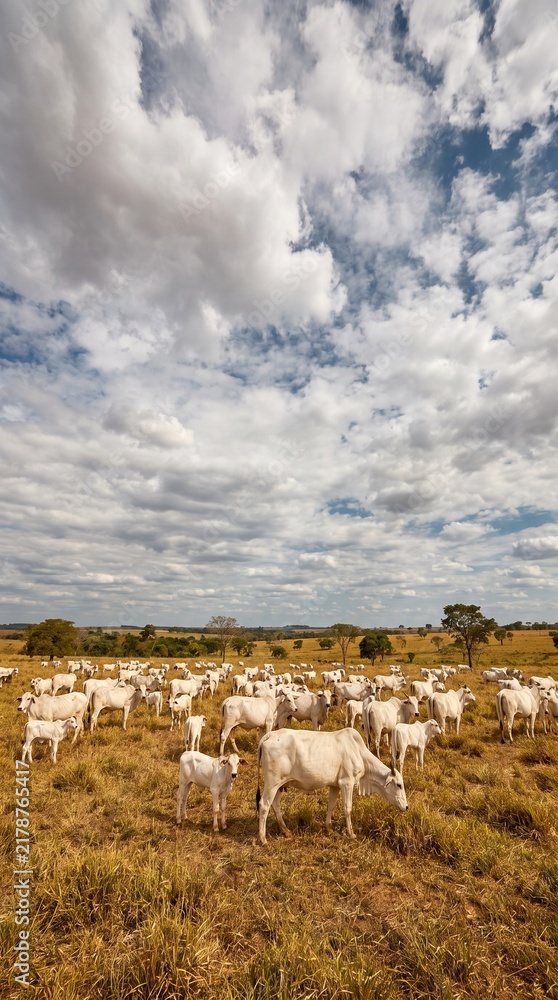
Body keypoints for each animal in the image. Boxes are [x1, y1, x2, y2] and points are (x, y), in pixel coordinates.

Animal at [256, 728, 408, 844]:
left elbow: (331, 806)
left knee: (275, 804)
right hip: (272, 783)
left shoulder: (335, 785)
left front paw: (328, 827)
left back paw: (285, 830)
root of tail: (270, 735)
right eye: (399, 785)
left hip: (280, 785)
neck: (359, 752)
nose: (406, 807)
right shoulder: (347, 783)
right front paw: (351, 833)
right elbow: (347, 808)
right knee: (264, 805)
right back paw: (263, 839)